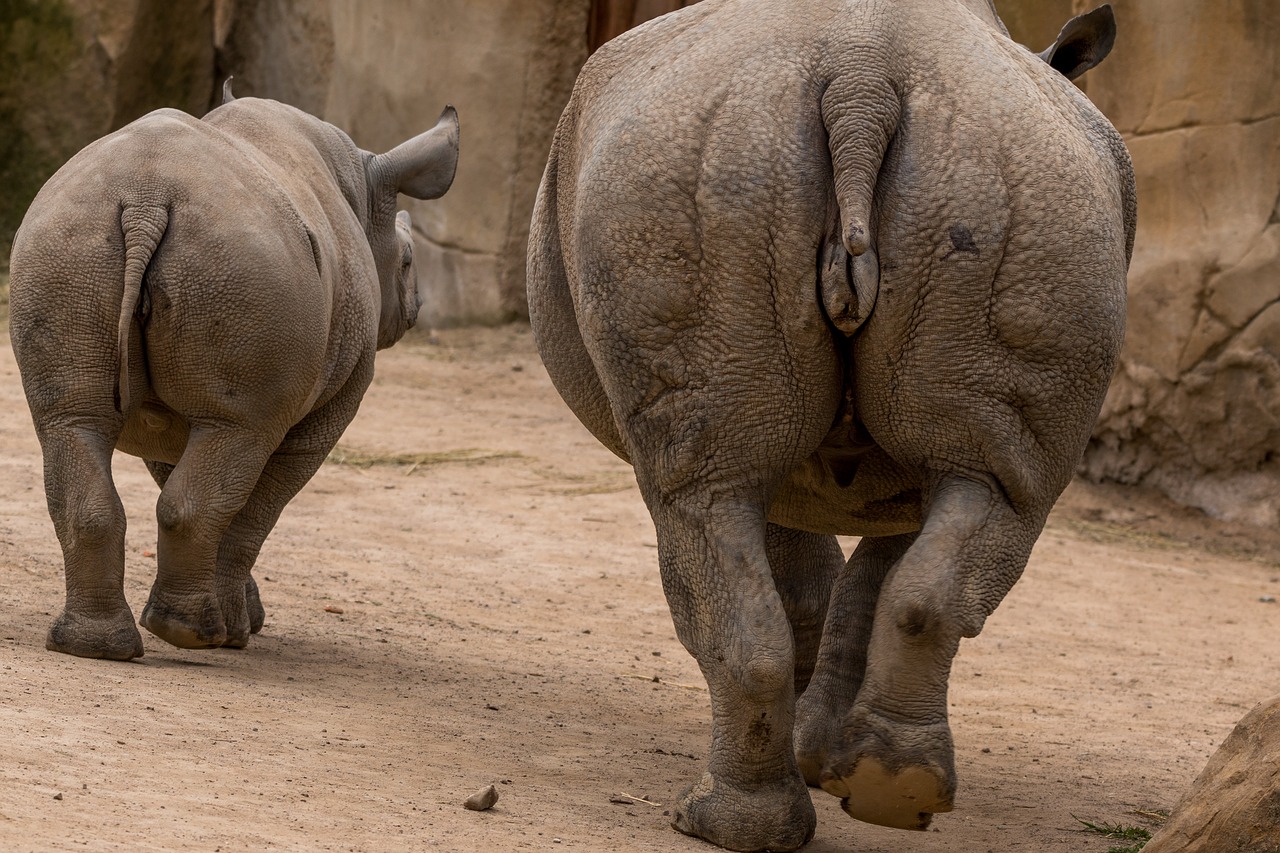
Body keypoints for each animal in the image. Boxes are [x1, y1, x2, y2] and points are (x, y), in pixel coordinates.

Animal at [8, 86, 460, 655]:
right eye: (406, 261)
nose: (419, 306)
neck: (364, 187)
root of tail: (145, 198)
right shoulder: (320, 411)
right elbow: (255, 510)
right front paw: (238, 631)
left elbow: (194, 478)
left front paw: (241, 618)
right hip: (242, 268)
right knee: (231, 436)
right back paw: (191, 635)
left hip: (66, 247)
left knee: (70, 422)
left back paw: (92, 647)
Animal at [524, 0, 1136, 845]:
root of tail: (862, 75)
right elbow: (868, 569)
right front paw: (833, 759)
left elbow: (816, 572)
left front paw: (823, 756)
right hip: (1013, 191)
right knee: (990, 488)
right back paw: (897, 791)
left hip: (712, 172)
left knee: (700, 498)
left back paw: (719, 820)